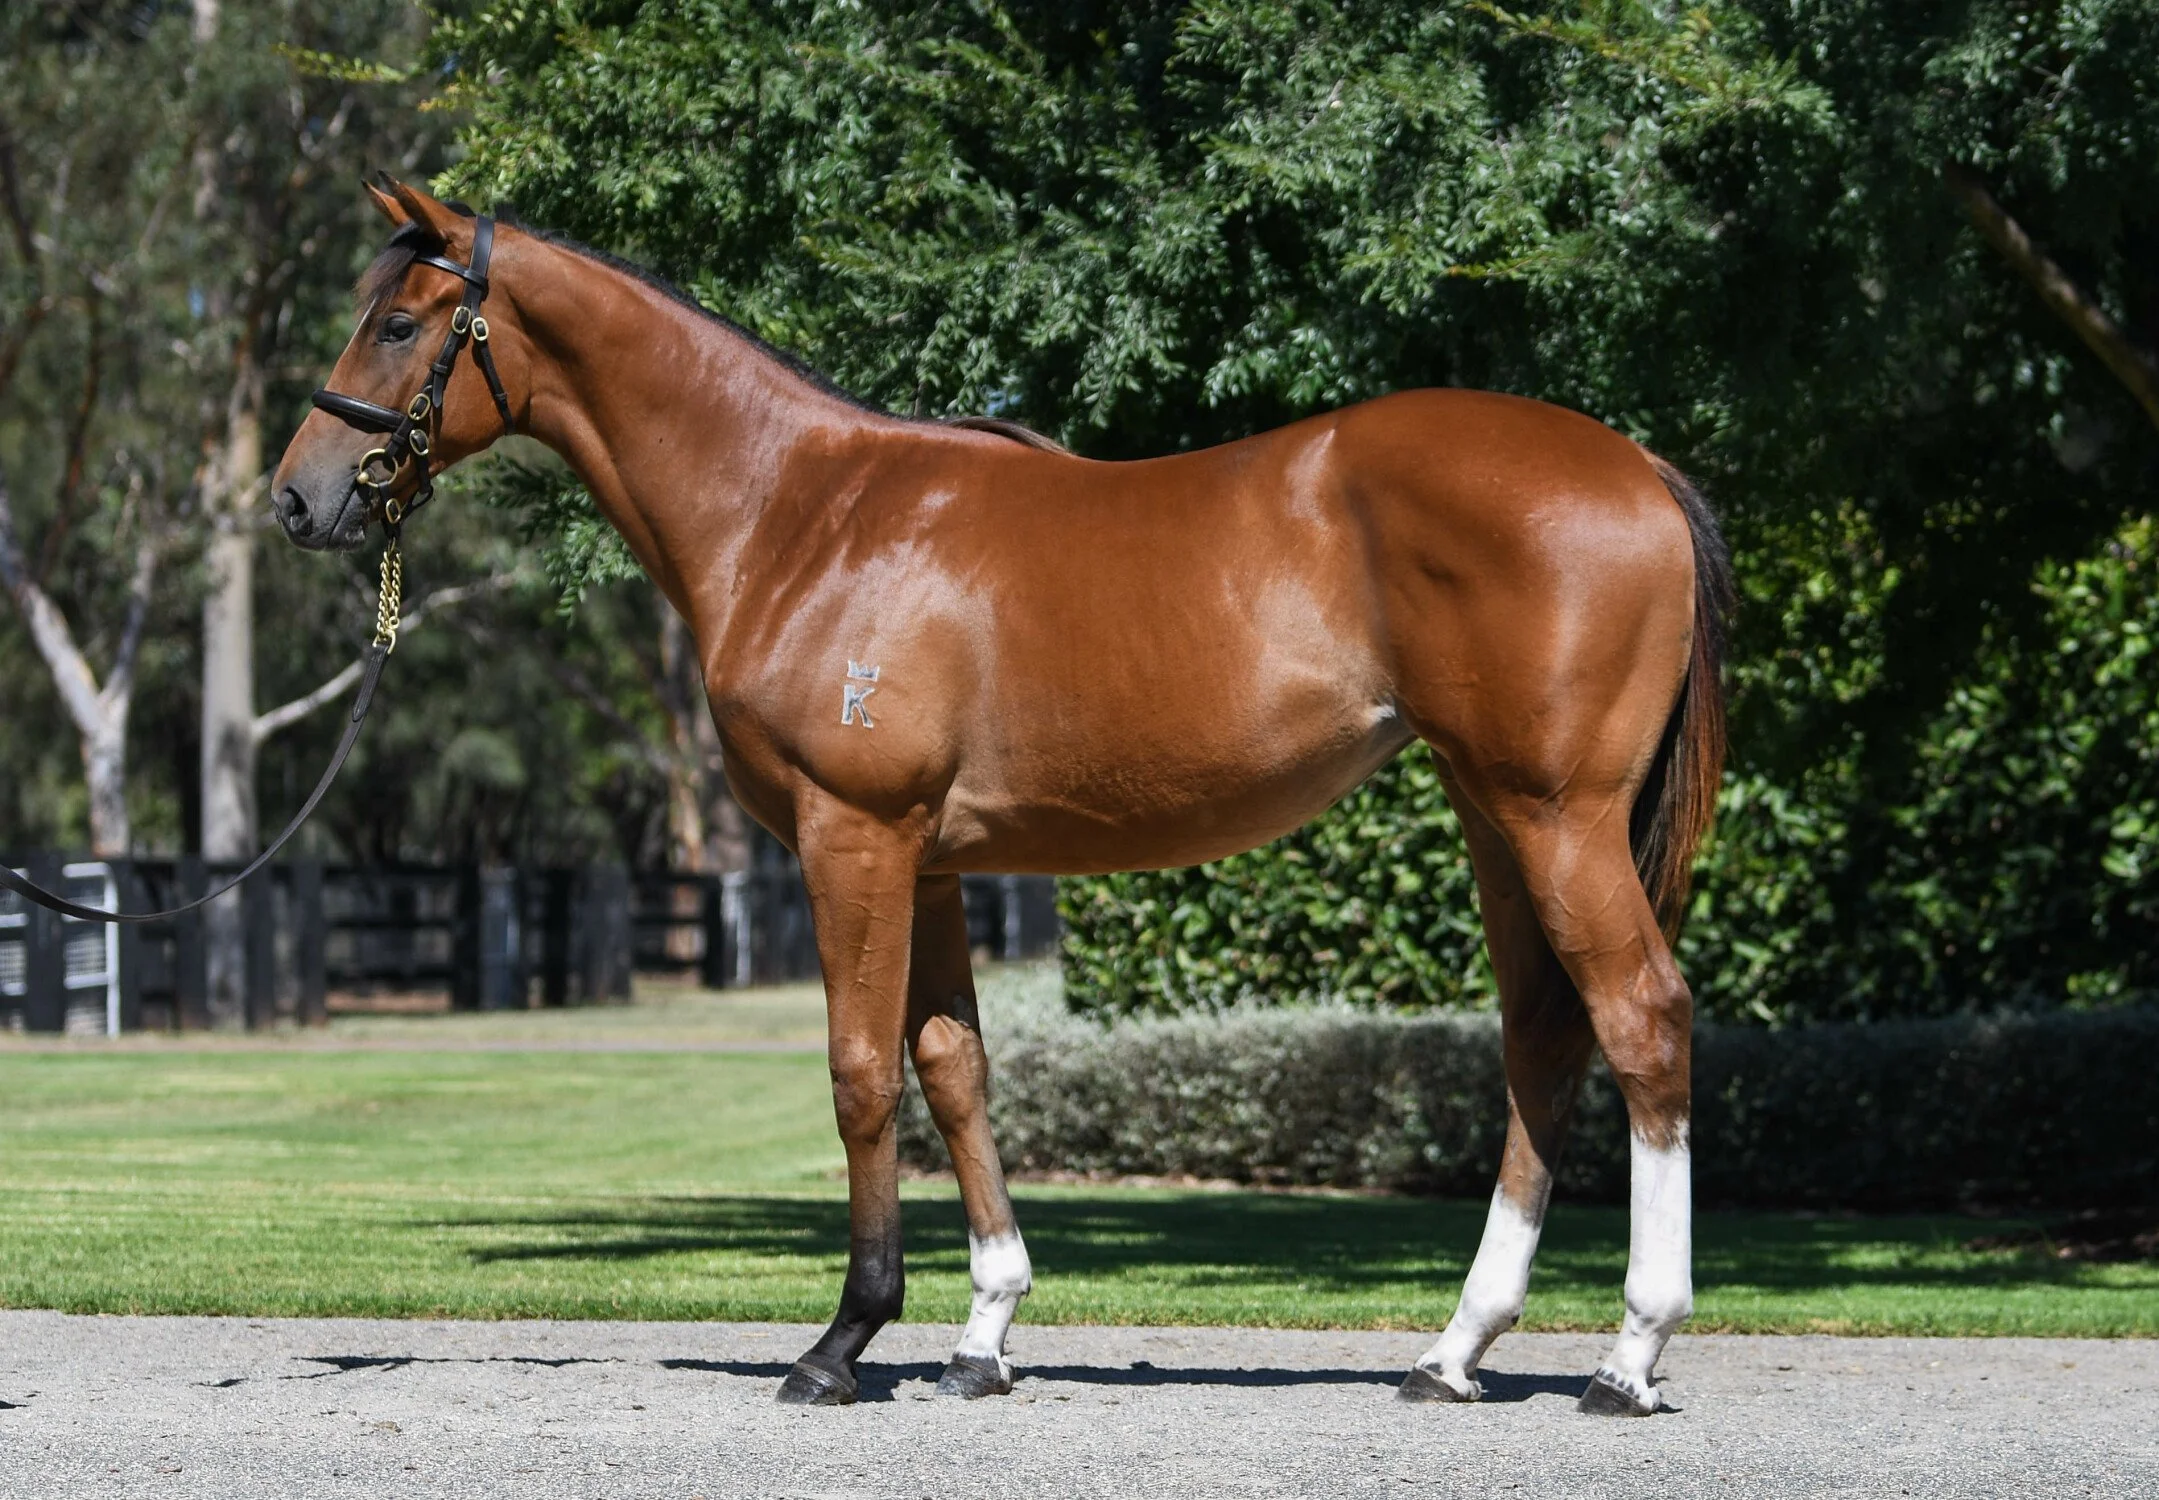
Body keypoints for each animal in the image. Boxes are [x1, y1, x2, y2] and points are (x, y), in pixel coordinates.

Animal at [273, 178, 1731, 1416]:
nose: (295, 499)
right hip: (1495, 818)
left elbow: (861, 1073)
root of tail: (1638, 472)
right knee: (1541, 1037)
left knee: (1641, 1019)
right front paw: (981, 1334)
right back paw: (1453, 1350)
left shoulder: (851, 838)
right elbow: (953, 1067)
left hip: (1553, 818)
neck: (802, 514)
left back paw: (1628, 1353)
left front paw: (842, 1339)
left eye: (397, 322)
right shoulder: (928, 862)